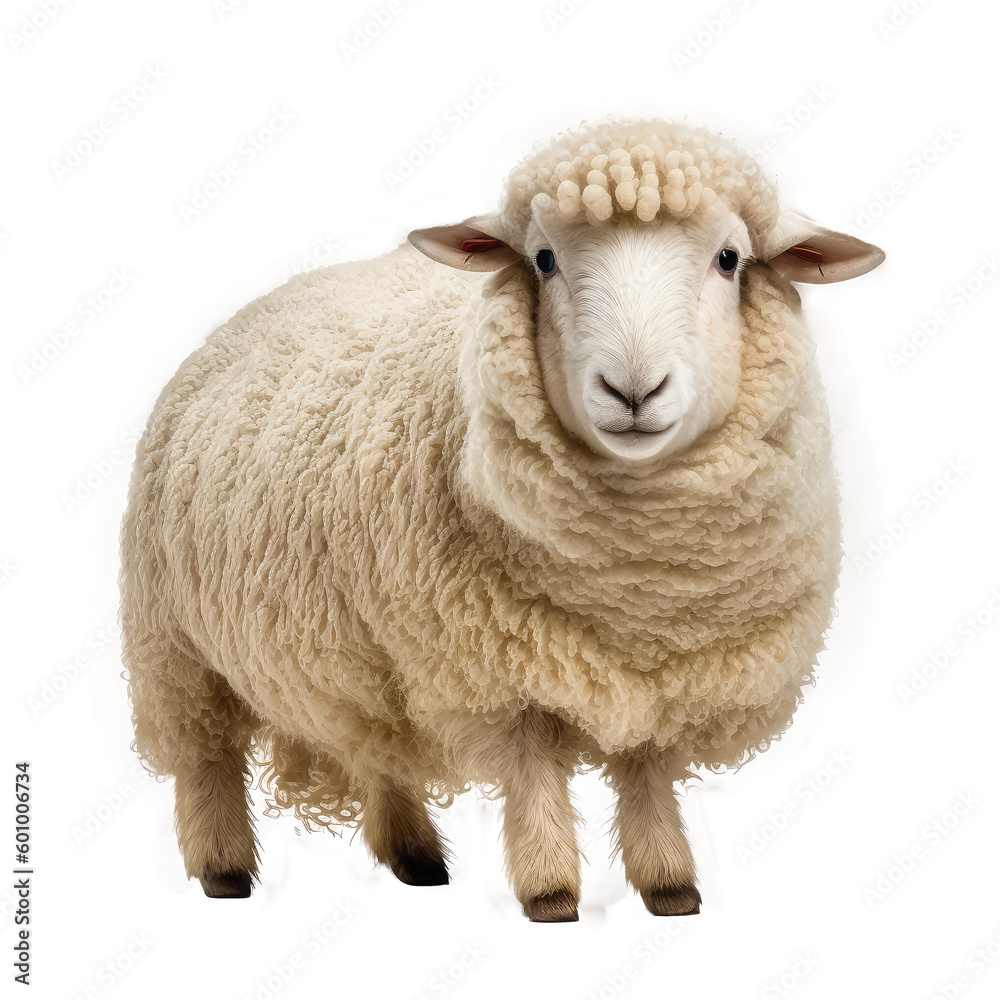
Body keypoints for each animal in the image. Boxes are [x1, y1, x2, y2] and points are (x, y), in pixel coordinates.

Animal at [120, 117, 884, 921]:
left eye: (729, 259)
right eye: (544, 259)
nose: (633, 390)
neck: (636, 587)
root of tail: (249, 313)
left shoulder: (661, 670)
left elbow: (645, 768)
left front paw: (669, 880)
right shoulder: (496, 670)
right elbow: (532, 768)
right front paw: (551, 890)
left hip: (358, 660)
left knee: (374, 745)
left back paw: (415, 856)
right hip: (174, 645)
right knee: (207, 756)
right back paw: (225, 868)